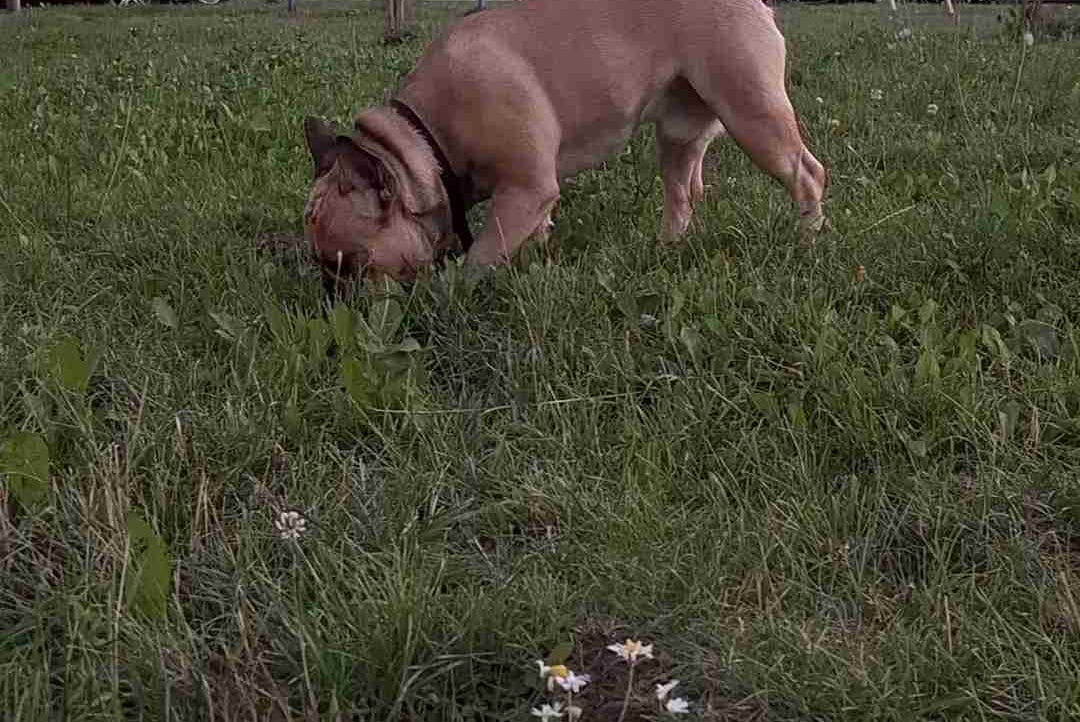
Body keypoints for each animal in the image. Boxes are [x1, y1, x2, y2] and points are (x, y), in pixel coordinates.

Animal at [303, 0, 826, 285]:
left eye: (350, 264)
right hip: (680, 132)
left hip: (751, 113)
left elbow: (483, 253)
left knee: (807, 174)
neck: (427, 139)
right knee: (682, 194)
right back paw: (666, 248)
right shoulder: (530, 197)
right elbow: (532, 234)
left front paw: (460, 290)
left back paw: (807, 240)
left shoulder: (525, 189)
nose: (332, 294)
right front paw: (535, 262)